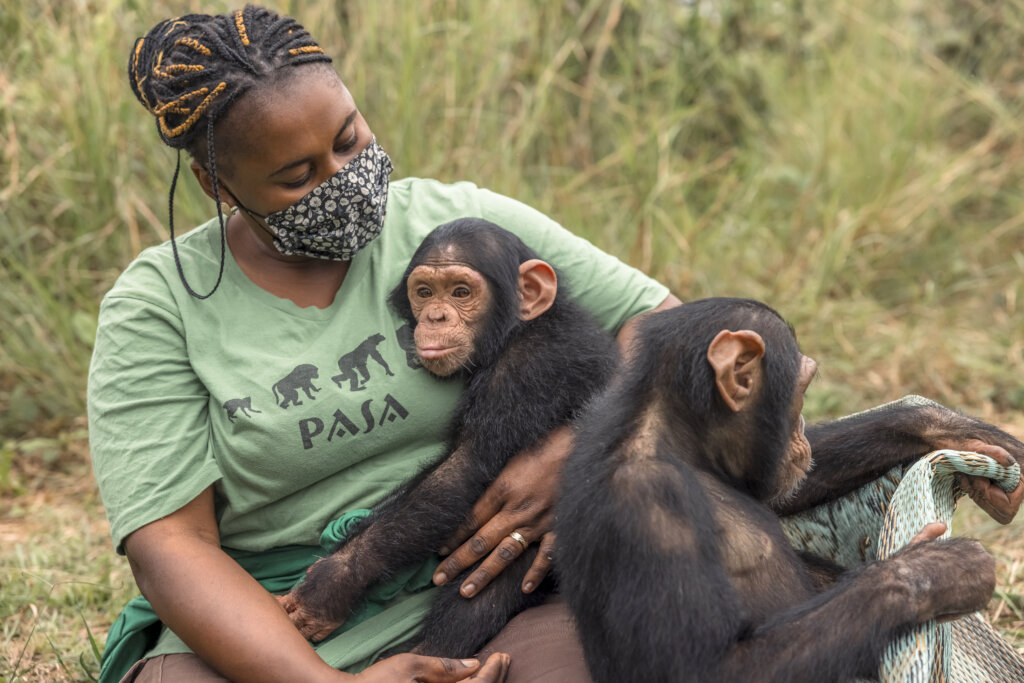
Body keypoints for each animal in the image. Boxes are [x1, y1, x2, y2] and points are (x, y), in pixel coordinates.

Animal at [276, 219, 618, 655]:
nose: (436, 316)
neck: (518, 330)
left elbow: (463, 468)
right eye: (425, 293)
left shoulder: (525, 374)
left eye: (461, 292)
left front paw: (334, 581)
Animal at [557, 299, 1024, 683]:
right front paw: (939, 569)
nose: (800, 430)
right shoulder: (650, 504)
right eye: (803, 389)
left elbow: (790, 491)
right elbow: (704, 670)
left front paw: (951, 427)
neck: (686, 444)